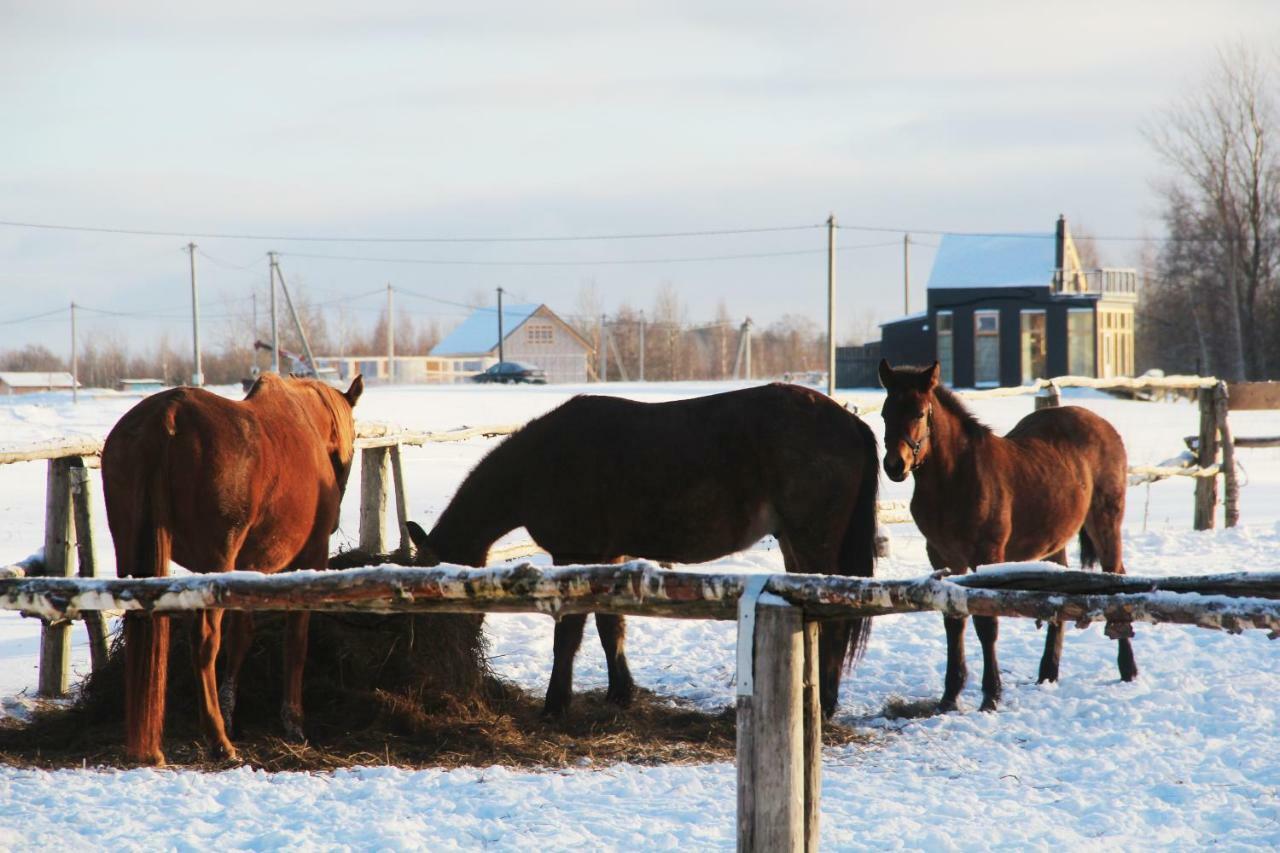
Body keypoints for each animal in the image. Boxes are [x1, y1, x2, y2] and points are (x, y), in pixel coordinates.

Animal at [97, 371, 360, 763]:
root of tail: (167, 416)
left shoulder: (249, 570)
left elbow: (241, 637)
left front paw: (231, 708)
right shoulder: (309, 561)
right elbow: (296, 642)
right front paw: (293, 721)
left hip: (131, 550)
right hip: (214, 559)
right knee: (205, 639)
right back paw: (219, 740)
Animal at [407, 381, 880, 712]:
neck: (542, 463)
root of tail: (849, 422)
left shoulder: (575, 556)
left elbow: (569, 633)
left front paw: (556, 703)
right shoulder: (606, 557)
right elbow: (609, 627)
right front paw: (621, 692)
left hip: (813, 542)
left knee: (835, 619)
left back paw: (826, 703)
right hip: (793, 545)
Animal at [875, 358, 1136, 712]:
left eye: (918, 412)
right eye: (885, 413)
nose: (894, 465)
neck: (955, 479)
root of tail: (1104, 426)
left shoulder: (987, 556)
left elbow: (987, 624)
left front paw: (991, 696)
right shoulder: (944, 557)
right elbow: (953, 621)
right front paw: (949, 696)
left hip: (1106, 522)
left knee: (1117, 576)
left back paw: (1128, 668)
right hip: (1055, 541)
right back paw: (1048, 673)